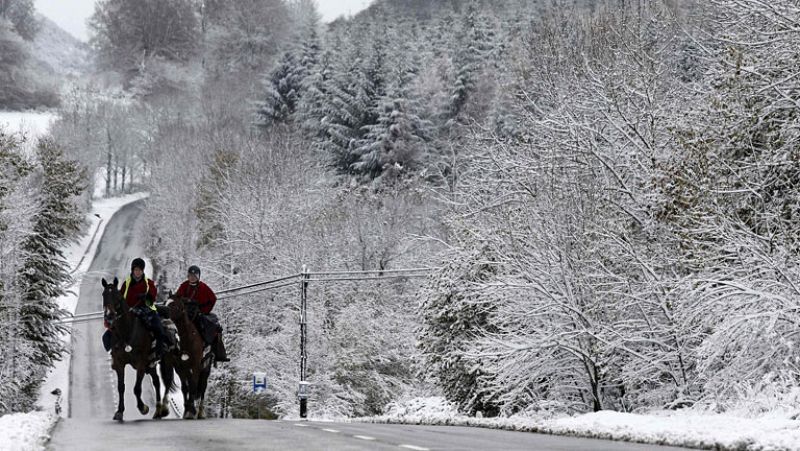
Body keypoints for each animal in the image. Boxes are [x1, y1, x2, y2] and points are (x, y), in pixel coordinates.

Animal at [101, 278, 169, 422]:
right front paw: (119, 412)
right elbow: (121, 387)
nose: (109, 316)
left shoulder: (141, 363)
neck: (127, 332)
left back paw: (160, 410)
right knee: (156, 381)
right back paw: (158, 411)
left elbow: (137, 388)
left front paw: (143, 408)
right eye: (104, 295)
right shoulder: (119, 363)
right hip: (150, 364)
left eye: (118, 296)